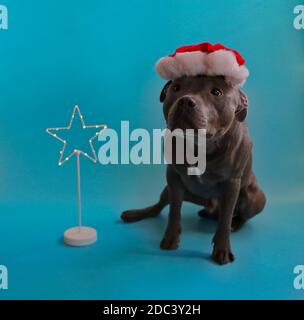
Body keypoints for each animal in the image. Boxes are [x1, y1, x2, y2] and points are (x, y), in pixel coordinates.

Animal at [121, 75, 266, 264]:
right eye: (176, 87)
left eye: (216, 91)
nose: (185, 101)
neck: (202, 146)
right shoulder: (173, 177)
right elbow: (174, 210)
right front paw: (171, 237)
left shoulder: (232, 185)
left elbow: (225, 219)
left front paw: (222, 248)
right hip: (170, 190)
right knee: (158, 207)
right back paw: (135, 214)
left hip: (254, 198)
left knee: (238, 215)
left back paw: (235, 223)